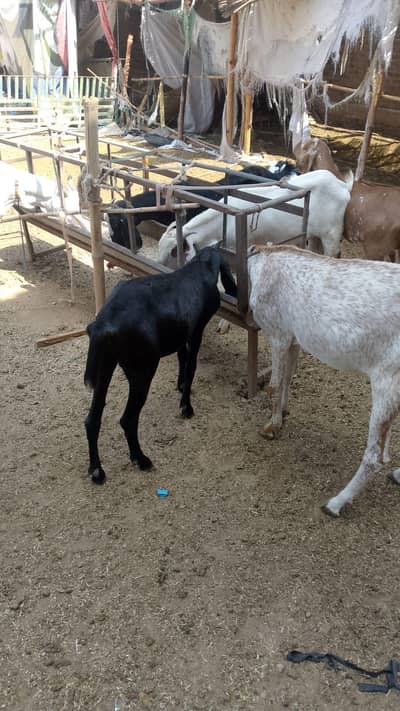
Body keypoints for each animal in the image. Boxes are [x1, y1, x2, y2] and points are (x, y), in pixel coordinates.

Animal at [84, 246, 237, 484]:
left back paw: (97, 471)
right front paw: (186, 406)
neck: (198, 269)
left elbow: (182, 358)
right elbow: (191, 366)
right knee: (127, 419)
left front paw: (180, 386)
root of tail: (103, 324)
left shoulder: (181, 334)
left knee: (92, 420)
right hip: (142, 371)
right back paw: (141, 459)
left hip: (104, 370)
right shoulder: (196, 331)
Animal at [248, 243, 400, 516]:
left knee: (375, 457)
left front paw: (271, 428)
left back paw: (335, 504)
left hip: (388, 380)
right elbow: (287, 379)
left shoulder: (278, 333)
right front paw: (283, 414)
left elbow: (274, 386)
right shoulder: (294, 338)